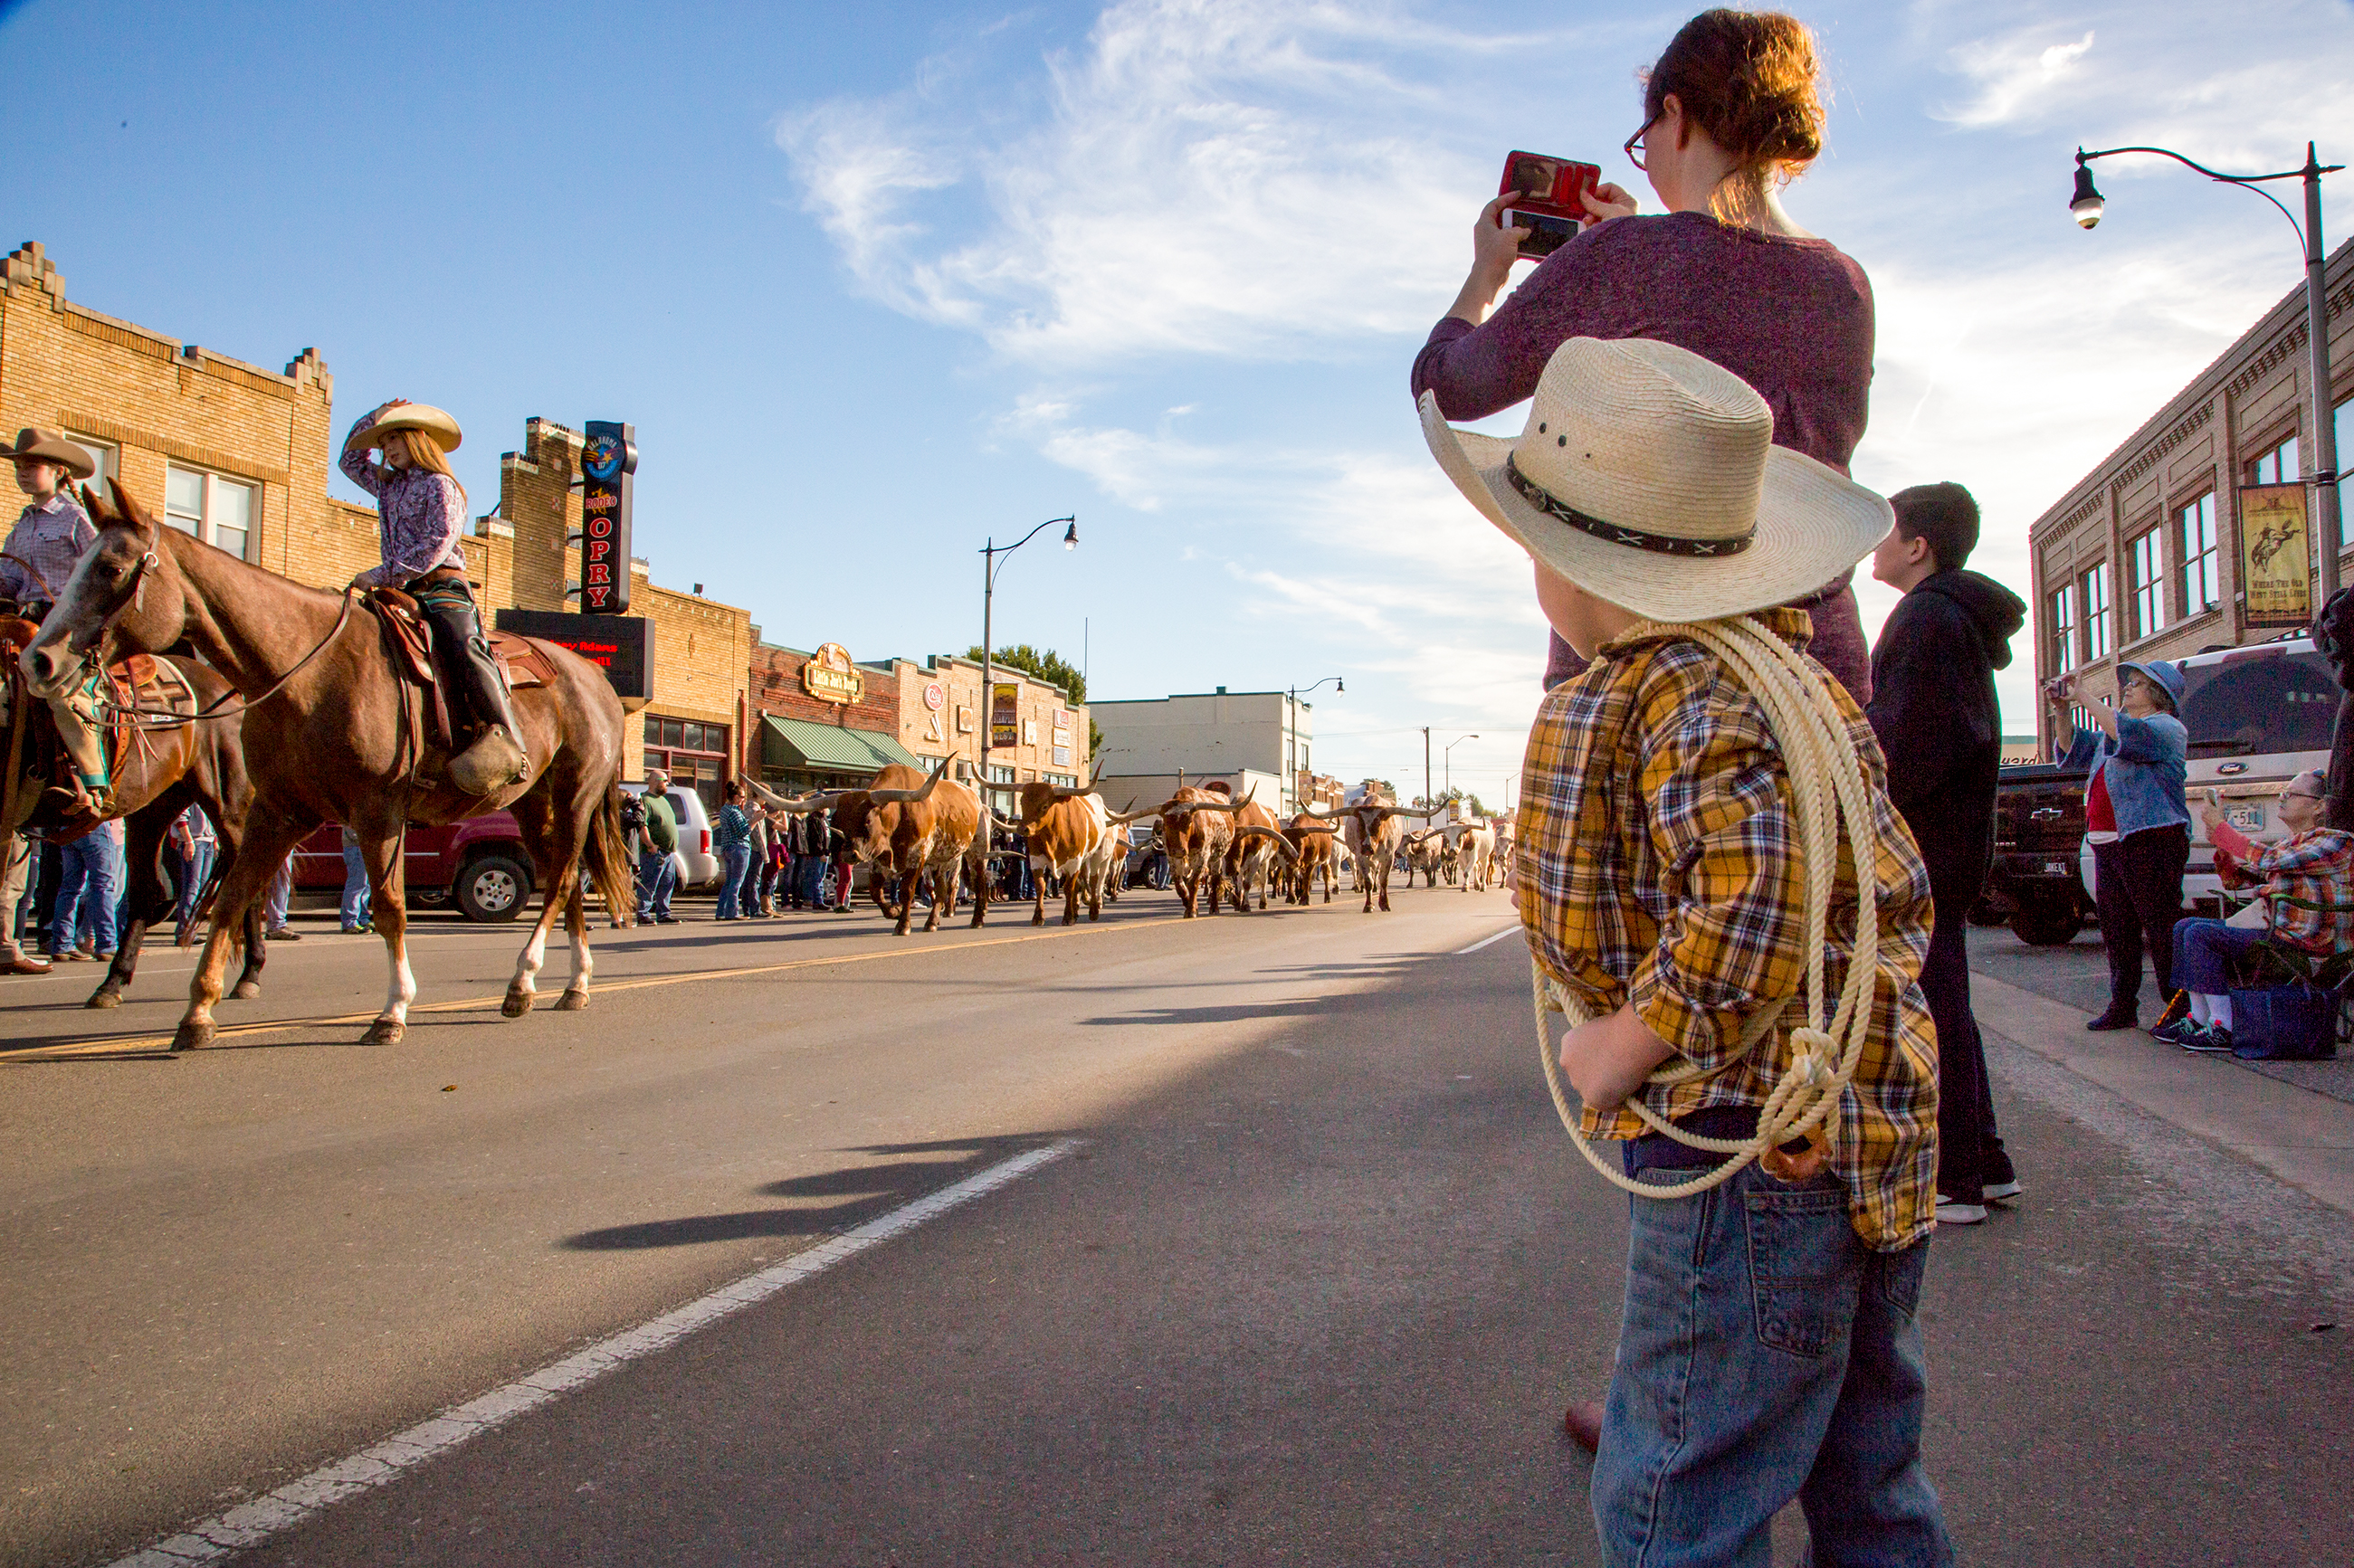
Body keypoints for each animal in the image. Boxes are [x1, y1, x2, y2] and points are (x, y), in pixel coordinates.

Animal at [30, 475, 635, 1050]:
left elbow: (389, 906)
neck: (307, 674)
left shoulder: (377, 811)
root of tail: (597, 679)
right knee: (564, 879)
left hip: (574, 796)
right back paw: (568, 984)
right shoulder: (278, 811)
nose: (40, 659)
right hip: (533, 805)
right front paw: (198, 1012)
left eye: (110, 568)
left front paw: (392, 1012)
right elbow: (232, 899)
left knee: (561, 880)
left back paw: (524, 981)